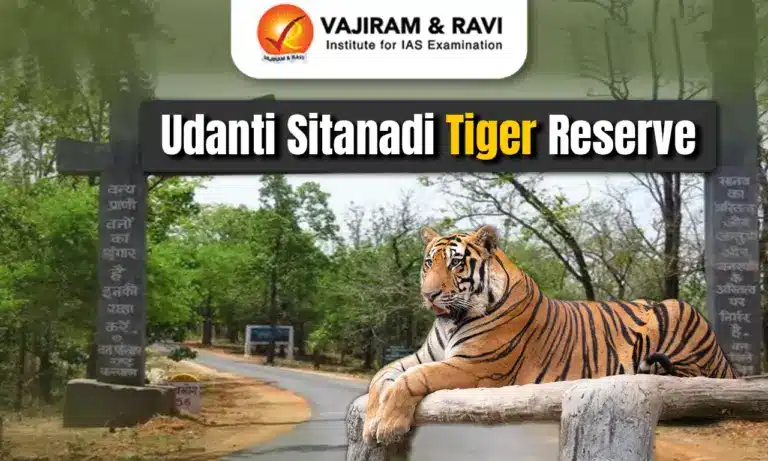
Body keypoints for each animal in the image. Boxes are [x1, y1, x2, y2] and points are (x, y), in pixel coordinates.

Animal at [362, 224, 737, 445]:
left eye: (456, 263)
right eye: (429, 263)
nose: (428, 295)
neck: (451, 320)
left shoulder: (475, 366)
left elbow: (413, 379)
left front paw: (387, 426)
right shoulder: (422, 356)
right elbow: (381, 376)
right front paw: (369, 422)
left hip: (677, 311)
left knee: (693, 381)